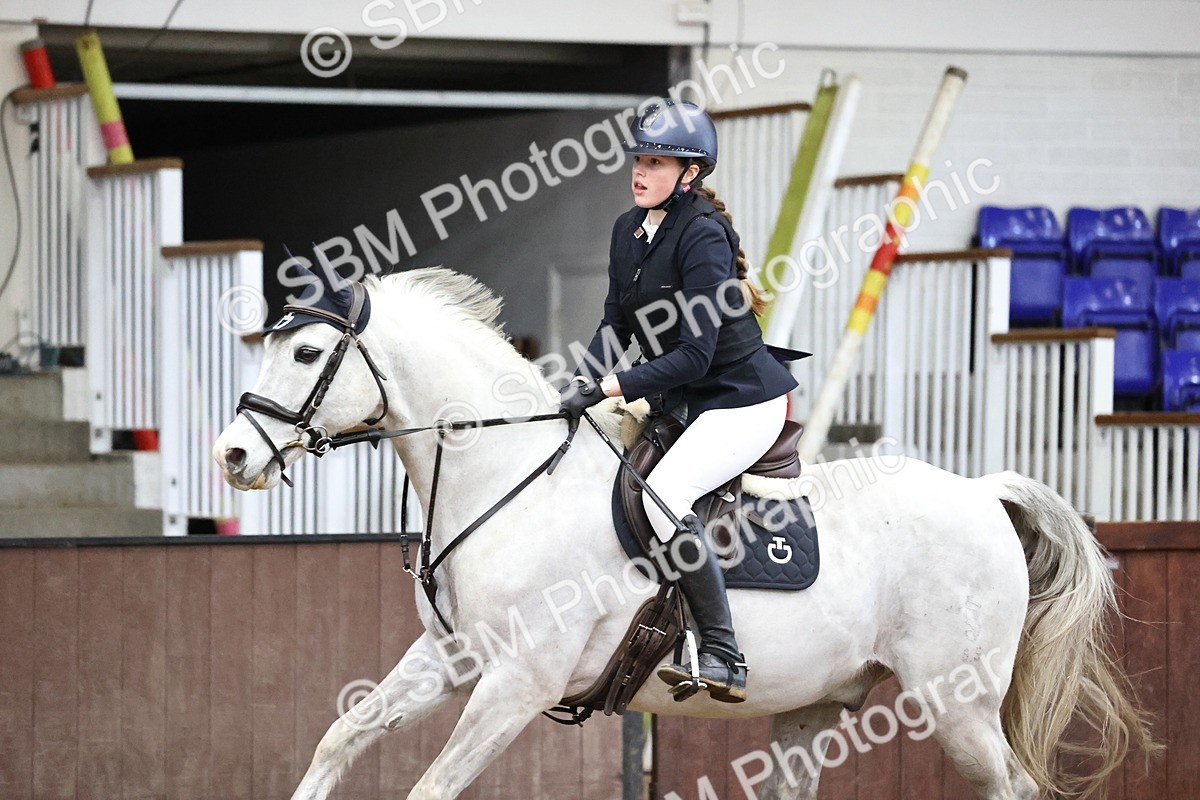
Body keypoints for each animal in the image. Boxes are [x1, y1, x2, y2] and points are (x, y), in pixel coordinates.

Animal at [213, 267, 1153, 800]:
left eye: (305, 357)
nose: (231, 455)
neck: (509, 477)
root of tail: (980, 492)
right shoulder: (451, 660)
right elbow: (343, 735)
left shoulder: (515, 682)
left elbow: (432, 787)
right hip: (815, 705)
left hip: (957, 703)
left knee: (1014, 787)